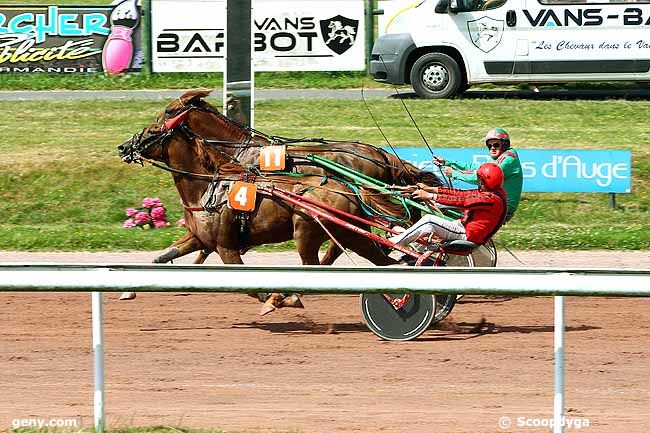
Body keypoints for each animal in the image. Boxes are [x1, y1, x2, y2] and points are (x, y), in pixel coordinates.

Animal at [117, 100, 410, 312]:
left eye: (159, 125)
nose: (123, 146)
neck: (210, 184)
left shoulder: (226, 246)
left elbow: (246, 283)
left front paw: (270, 296)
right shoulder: (199, 237)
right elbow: (163, 256)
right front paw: (130, 289)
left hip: (307, 232)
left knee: (318, 264)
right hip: (349, 232)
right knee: (374, 258)